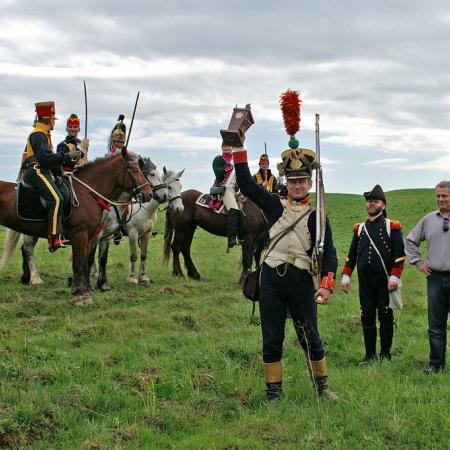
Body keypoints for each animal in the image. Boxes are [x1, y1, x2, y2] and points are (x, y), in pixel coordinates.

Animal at [0, 150, 153, 306]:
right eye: (133, 170)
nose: (149, 193)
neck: (87, 193)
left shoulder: (91, 237)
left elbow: (86, 263)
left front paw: (84, 291)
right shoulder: (80, 235)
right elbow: (79, 264)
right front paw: (80, 295)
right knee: (28, 250)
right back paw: (35, 278)